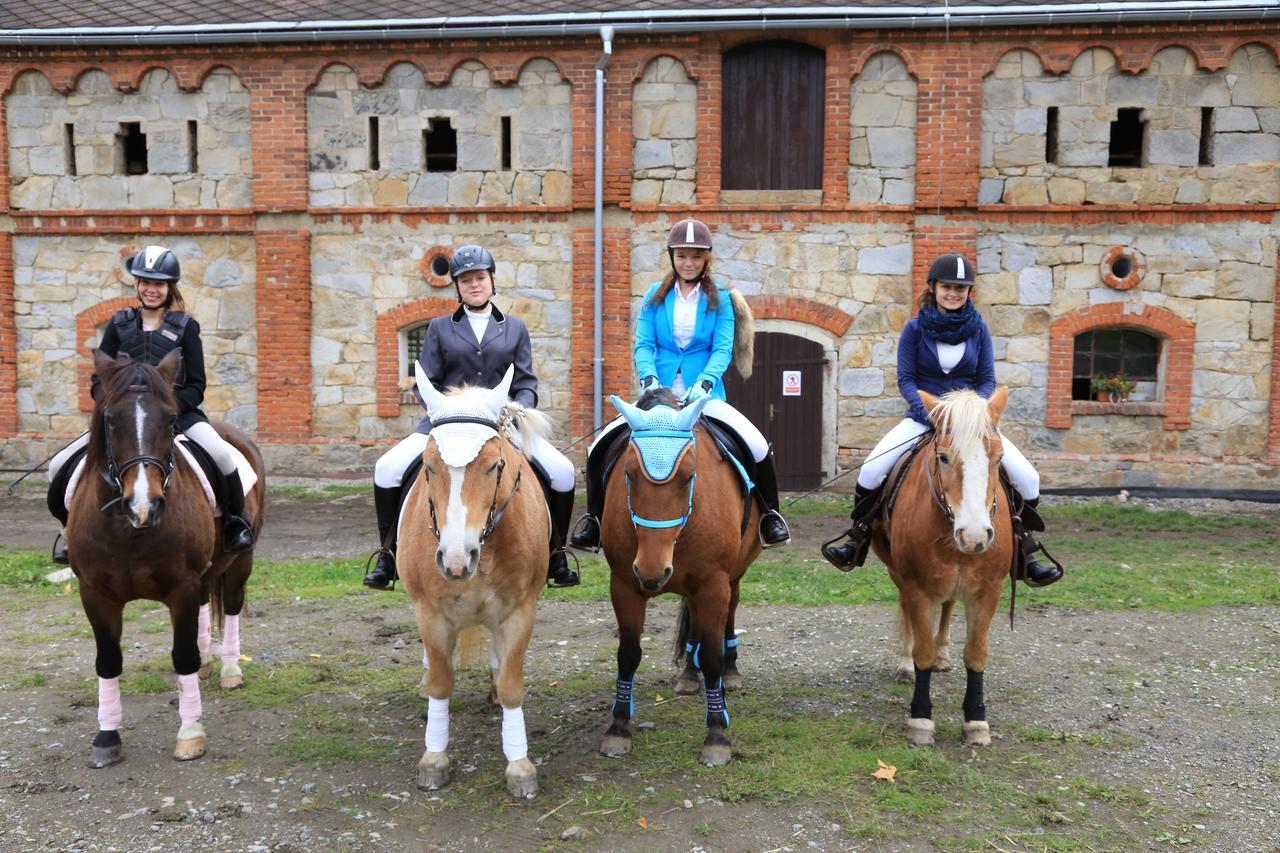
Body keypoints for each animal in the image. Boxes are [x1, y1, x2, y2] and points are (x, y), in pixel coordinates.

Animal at [67, 348, 264, 768]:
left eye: (171, 418)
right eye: (110, 418)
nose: (144, 505)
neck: (129, 531)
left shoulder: (181, 588)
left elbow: (183, 655)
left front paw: (190, 734)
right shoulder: (94, 592)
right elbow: (108, 660)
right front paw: (107, 737)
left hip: (240, 563)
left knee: (232, 606)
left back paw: (229, 668)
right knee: (209, 604)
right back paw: (209, 663)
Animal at [394, 366, 545, 799]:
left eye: (494, 465)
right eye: (428, 466)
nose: (456, 561)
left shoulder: (519, 612)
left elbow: (512, 683)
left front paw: (519, 766)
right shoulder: (430, 614)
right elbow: (442, 683)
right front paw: (434, 759)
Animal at [596, 389, 762, 768]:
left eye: (689, 476)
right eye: (628, 474)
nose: (652, 571)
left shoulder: (714, 583)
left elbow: (713, 654)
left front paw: (716, 735)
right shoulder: (624, 585)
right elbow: (628, 654)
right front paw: (617, 728)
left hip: (731, 578)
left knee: (729, 614)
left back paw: (730, 672)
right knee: (695, 620)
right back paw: (688, 672)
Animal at [875, 384, 1013, 742]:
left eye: (999, 458)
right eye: (944, 457)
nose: (975, 536)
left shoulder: (989, 591)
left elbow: (976, 655)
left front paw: (976, 721)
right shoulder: (916, 587)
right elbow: (921, 649)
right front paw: (921, 720)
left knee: (949, 605)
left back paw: (943, 654)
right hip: (899, 575)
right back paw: (906, 664)